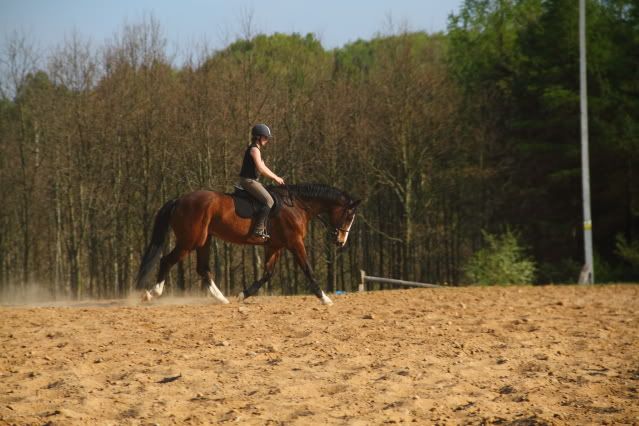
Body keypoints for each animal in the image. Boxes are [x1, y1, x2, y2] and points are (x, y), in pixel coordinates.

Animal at [135, 183, 360, 305]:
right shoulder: (295, 243)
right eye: (349, 216)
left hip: (204, 240)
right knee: (166, 261)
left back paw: (222, 298)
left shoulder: (274, 246)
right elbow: (307, 269)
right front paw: (325, 298)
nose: (340, 241)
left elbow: (267, 274)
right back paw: (152, 293)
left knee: (203, 269)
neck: (297, 205)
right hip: (189, 241)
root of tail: (180, 200)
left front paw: (243, 294)